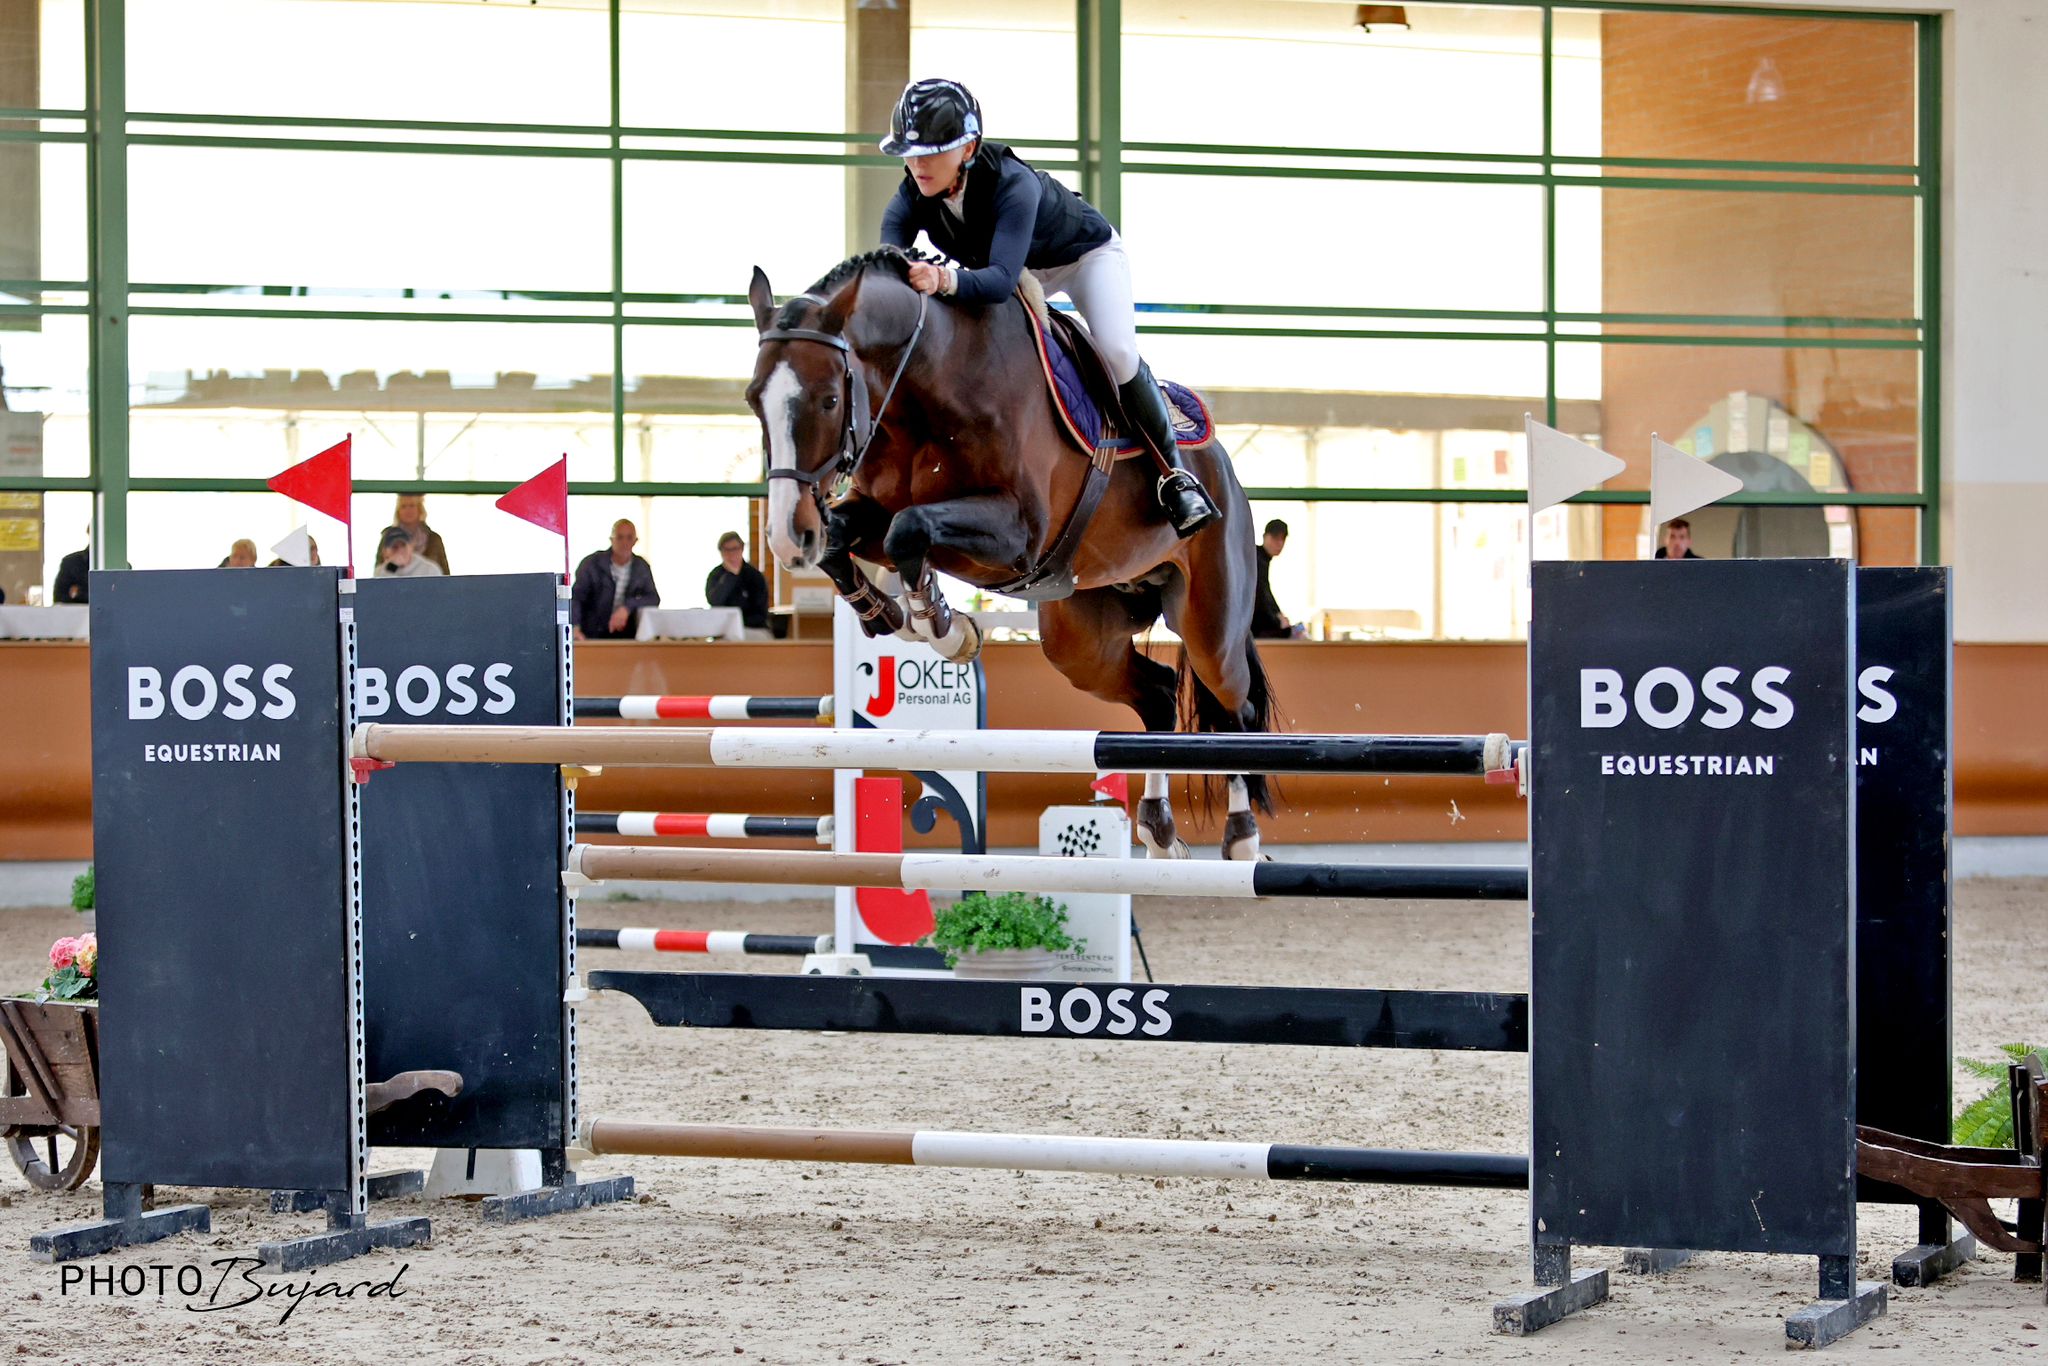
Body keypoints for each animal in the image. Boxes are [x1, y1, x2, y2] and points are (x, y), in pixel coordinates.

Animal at [744, 246, 1276, 860]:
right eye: (753, 399)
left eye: (830, 399)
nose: (788, 536)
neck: (925, 380)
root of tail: (1224, 468)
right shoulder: (875, 512)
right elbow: (853, 539)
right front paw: (892, 615)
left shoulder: (1018, 532)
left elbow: (910, 529)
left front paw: (940, 624)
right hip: (1082, 641)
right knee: (1161, 694)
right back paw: (1159, 833)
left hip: (1210, 623)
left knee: (1233, 706)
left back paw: (1241, 837)